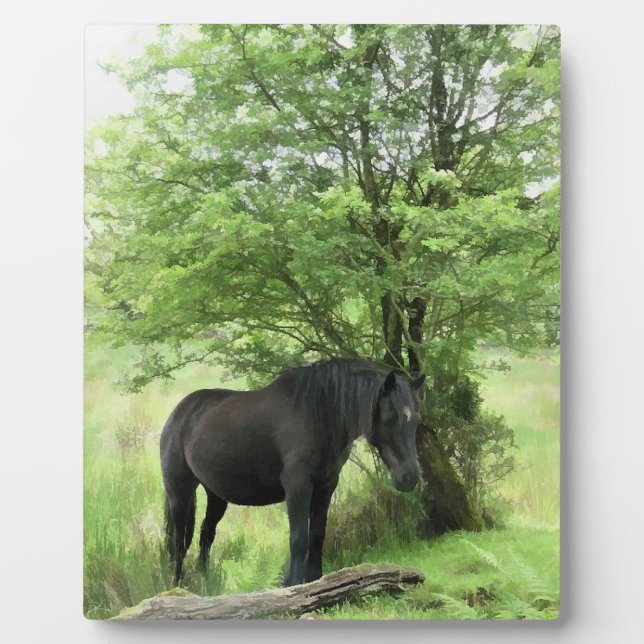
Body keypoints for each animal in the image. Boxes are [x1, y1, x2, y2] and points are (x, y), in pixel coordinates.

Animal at [160, 357, 425, 587]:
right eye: (390, 417)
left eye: (417, 420)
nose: (410, 477)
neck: (318, 414)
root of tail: (178, 413)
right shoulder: (298, 486)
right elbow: (299, 538)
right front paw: (293, 584)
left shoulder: (326, 485)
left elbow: (317, 535)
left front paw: (316, 580)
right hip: (179, 493)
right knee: (179, 542)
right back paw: (177, 587)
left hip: (216, 495)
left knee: (206, 535)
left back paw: (205, 584)